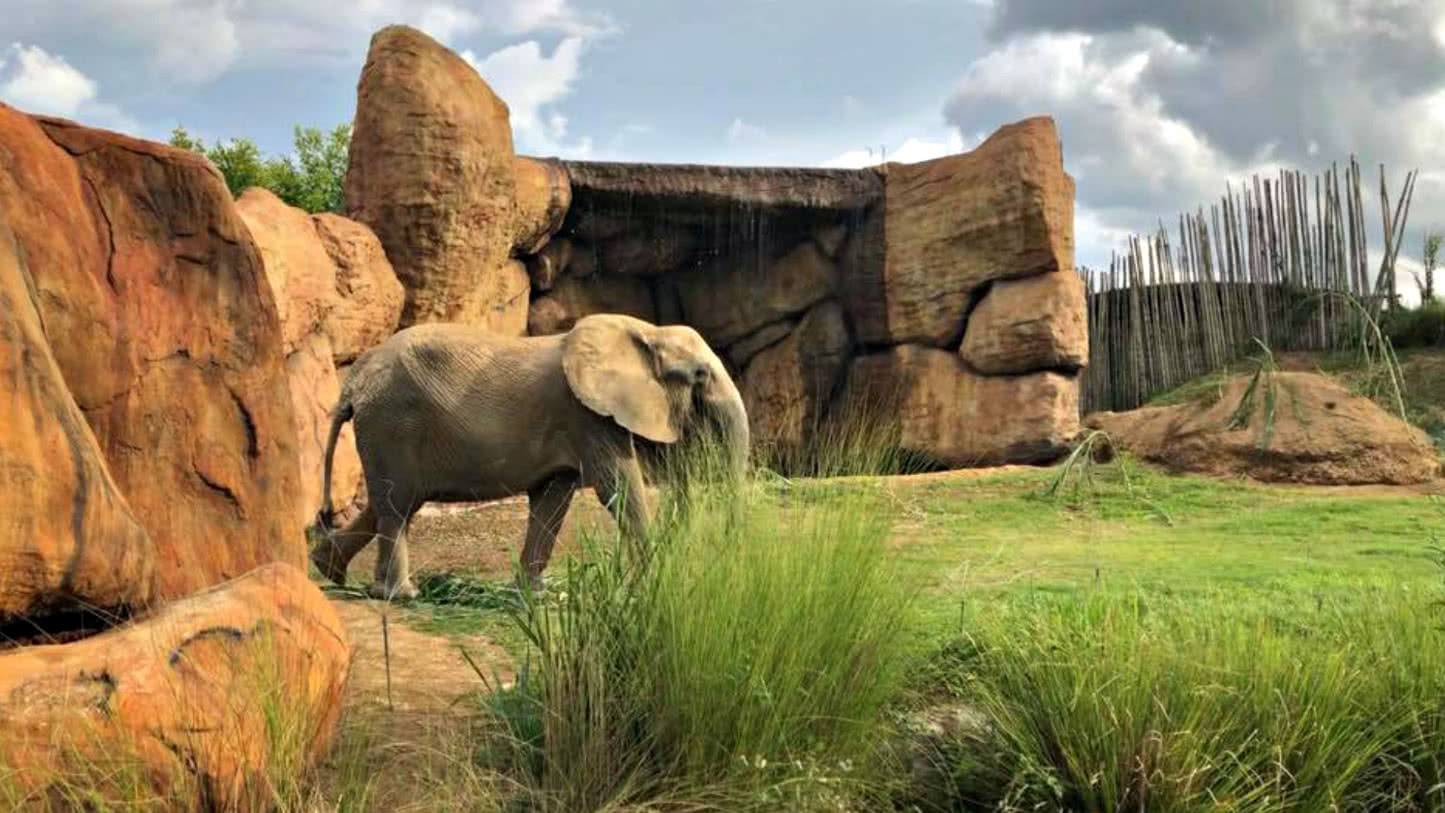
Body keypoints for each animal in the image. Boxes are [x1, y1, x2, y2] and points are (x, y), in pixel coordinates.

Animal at [309, 314, 751, 600]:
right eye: (700, 375)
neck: (647, 332)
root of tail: (354, 381)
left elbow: (553, 500)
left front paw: (537, 596)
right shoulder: (586, 416)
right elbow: (619, 486)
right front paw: (653, 583)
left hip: (387, 429)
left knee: (392, 504)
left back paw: (332, 571)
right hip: (393, 422)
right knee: (397, 504)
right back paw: (401, 595)